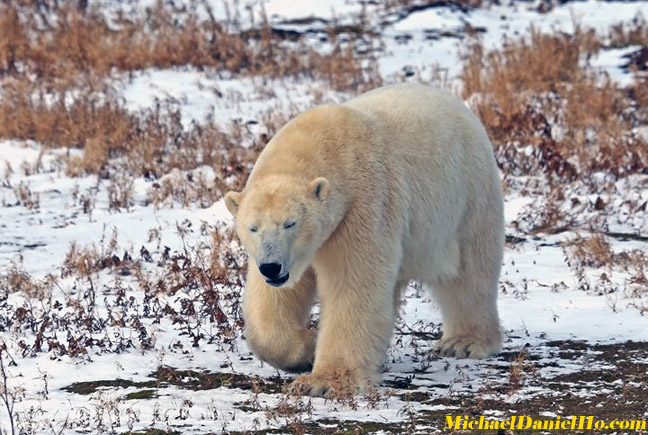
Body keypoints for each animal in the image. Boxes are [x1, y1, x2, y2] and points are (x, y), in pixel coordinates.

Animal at [225, 83, 504, 396]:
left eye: (290, 223)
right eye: (252, 228)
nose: (271, 268)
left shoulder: (364, 204)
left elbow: (352, 285)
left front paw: (323, 382)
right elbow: (274, 298)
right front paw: (306, 348)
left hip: (467, 198)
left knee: (469, 273)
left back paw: (463, 342)